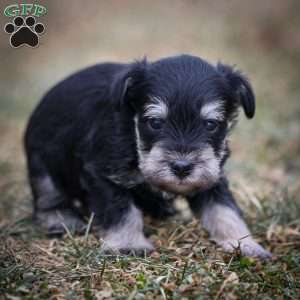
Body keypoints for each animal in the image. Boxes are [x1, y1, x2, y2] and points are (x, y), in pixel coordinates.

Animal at [24, 55, 272, 258]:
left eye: (211, 124)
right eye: (155, 123)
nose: (181, 167)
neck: (134, 138)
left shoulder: (213, 176)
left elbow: (225, 210)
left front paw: (245, 244)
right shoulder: (101, 174)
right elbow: (121, 210)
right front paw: (128, 245)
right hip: (42, 164)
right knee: (48, 196)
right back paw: (61, 219)